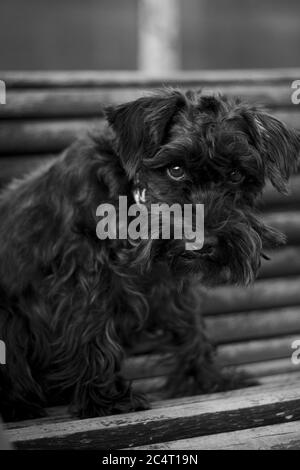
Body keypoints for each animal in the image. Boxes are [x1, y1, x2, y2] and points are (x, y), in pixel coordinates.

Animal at [0, 88, 300, 418]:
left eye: (235, 174)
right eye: (176, 169)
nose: (203, 240)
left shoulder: (169, 285)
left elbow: (191, 329)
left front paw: (209, 380)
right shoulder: (82, 277)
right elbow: (90, 330)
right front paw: (105, 401)